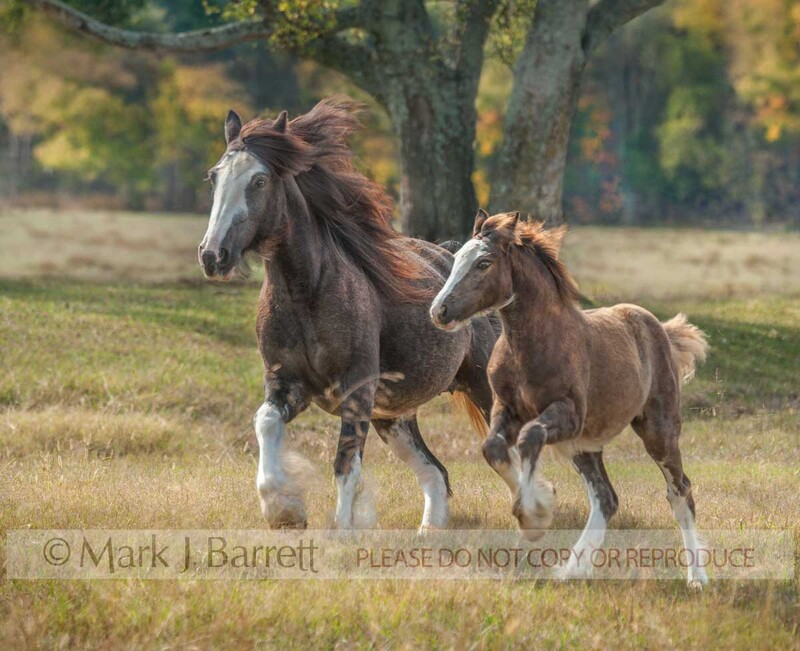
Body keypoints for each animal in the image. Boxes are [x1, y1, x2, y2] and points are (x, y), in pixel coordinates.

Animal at [197, 97, 497, 533]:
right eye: (214, 177)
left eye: (259, 181)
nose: (212, 255)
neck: (307, 294)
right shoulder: (286, 383)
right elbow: (265, 422)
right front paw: (285, 510)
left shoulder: (356, 390)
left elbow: (345, 464)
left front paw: (340, 531)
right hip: (395, 418)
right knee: (435, 473)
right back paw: (430, 533)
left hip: (485, 390)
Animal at [430, 210, 709, 587]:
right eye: (458, 257)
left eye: (484, 262)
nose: (439, 311)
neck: (532, 345)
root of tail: (660, 329)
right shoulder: (505, 409)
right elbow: (493, 448)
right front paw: (538, 505)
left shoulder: (568, 414)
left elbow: (530, 436)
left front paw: (534, 513)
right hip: (584, 445)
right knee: (606, 498)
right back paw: (572, 569)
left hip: (658, 431)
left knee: (680, 492)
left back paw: (697, 577)